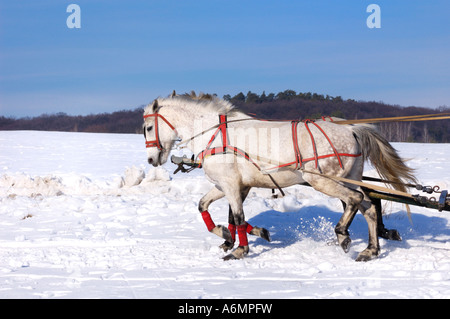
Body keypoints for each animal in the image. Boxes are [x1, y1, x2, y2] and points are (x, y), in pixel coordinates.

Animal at [144, 92, 414, 262]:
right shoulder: (230, 186)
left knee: (356, 199)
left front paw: (240, 249)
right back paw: (370, 250)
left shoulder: (231, 185)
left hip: (324, 181)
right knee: (369, 206)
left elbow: (238, 218)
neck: (215, 134)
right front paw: (228, 235)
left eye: (148, 127)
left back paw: (343, 235)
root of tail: (352, 129)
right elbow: (207, 208)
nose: (151, 160)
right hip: (348, 177)